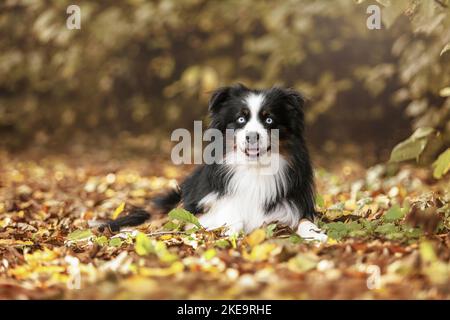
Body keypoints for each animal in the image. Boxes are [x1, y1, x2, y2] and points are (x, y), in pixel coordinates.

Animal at [102, 84, 326, 241]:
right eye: (241, 119)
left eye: (269, 120)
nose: (252, 136)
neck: (254, 168)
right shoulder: (201, 211)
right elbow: (230, 217)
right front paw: (229, 230)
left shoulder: (293, 206)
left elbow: (303, 221)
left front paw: (316, 233)